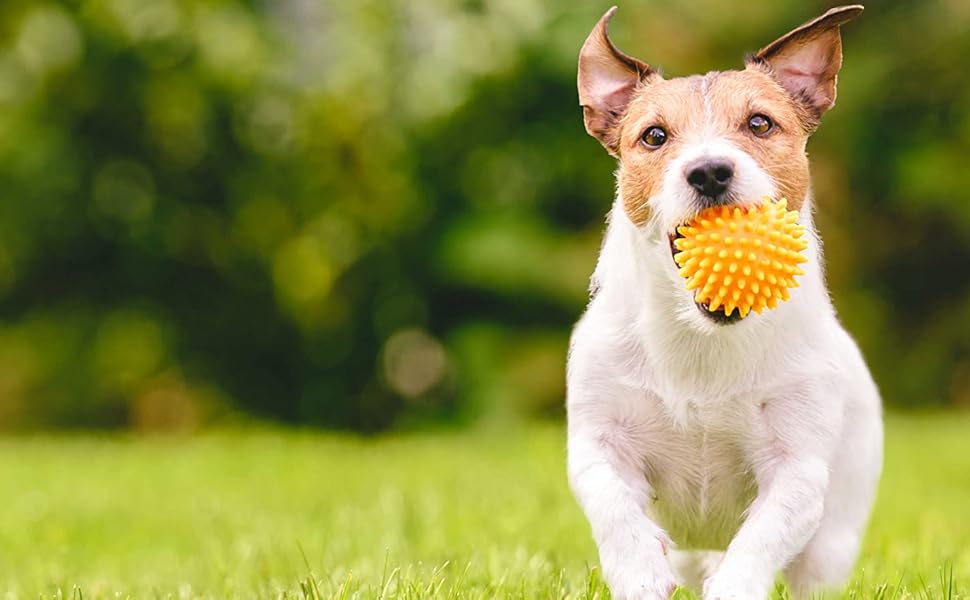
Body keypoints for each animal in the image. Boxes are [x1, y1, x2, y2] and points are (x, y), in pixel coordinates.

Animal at [564, 5, 880, 600]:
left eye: (759, 123)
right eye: (654, 135)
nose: (709, 170)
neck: (704, 338)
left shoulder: (797, 467)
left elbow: (761, 537)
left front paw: (733, 584)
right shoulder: (600, 440)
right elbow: (612, 505)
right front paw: (639, 571)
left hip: (833, 542)